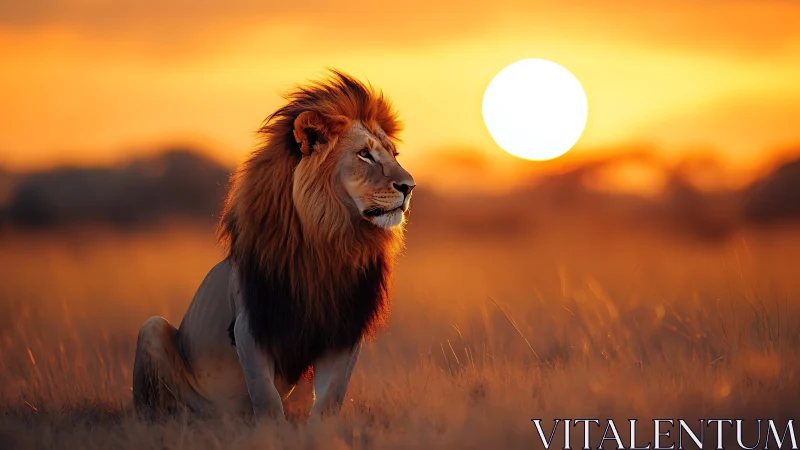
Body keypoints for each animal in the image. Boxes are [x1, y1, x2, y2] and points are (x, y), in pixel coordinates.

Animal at [131, 70, 415, 422]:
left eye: (394, 154)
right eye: (364, 153)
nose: (410, 187)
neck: (329, 241)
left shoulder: (343, 329)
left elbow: (330, 398)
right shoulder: (250, 323)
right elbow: (266, 396)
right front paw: (272, 431)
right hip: (152, 329)